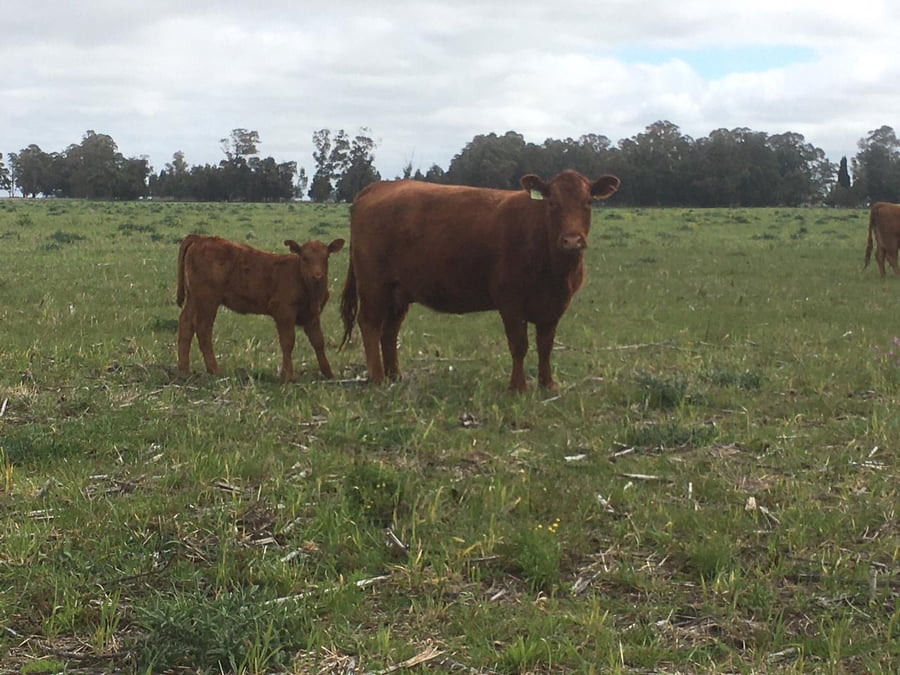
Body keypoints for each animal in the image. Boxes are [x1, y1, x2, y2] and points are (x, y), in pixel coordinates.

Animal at [176, 234, 345, 381]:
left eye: (326, 257)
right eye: (304, 258)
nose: (318, 276)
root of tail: (201, 237)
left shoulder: (312, 316)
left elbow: (318, 342)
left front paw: (329, 373)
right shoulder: (284, 313)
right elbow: (288, 342)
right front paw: (288, 375)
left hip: (194, 298)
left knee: (186, 323)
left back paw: (184, 369)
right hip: (208, 300)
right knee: (203, 328)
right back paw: (213, 369)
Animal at [339, 170, 621, 391]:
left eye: (588, 202)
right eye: (552, 203)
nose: (572, 240)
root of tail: (380, 186)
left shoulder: (555, 305)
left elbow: (545, 346)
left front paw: (547, 384)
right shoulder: (510, 301)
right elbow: (519, 345)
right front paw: (518, 387)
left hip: (399, 291)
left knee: (390, 330)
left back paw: (395, 375)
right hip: (374, 285)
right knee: (370, 324)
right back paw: (378, 378)